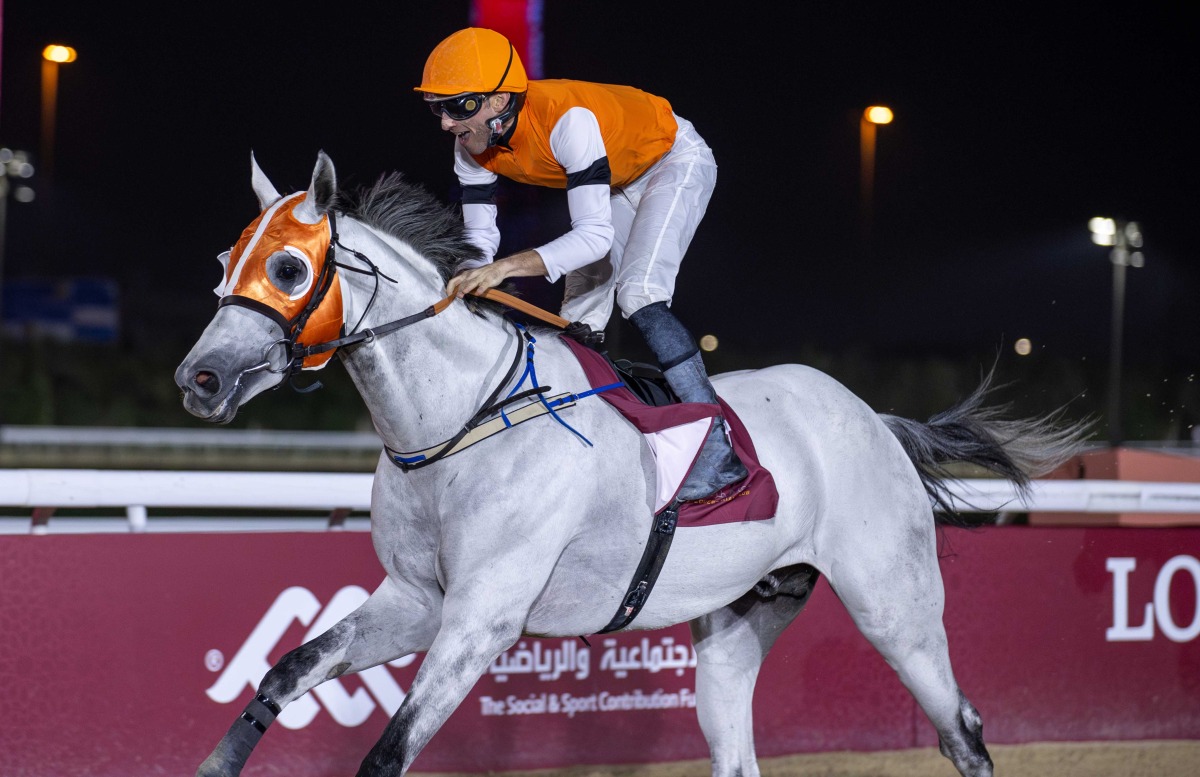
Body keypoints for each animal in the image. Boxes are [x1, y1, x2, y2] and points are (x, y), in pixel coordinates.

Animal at [177, 151, 1089, 777]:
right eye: (224, 263)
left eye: (289, 266)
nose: (200, 378)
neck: (461, 422)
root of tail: (875, 420)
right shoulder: (417, 600)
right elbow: (287, 668)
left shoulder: (483, 615)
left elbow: (387, 752)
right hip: (740, 619)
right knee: (737, 754)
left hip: (894, 604)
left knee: (962, 730)